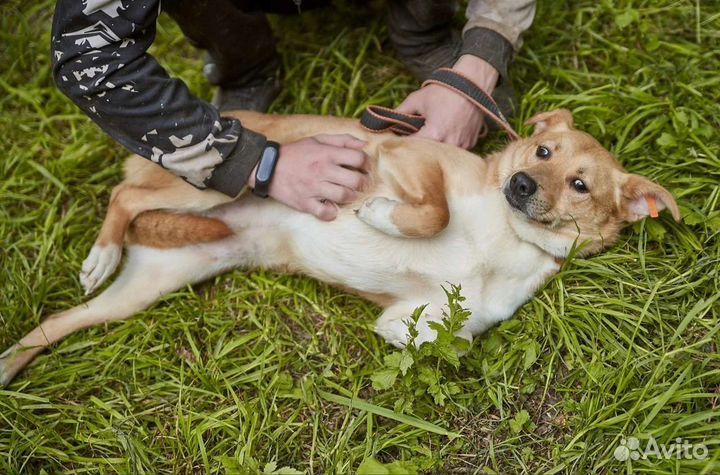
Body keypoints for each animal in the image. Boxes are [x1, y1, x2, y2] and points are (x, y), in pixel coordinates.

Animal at [0, 109, 680, 384]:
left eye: (580, 184)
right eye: (540, 151)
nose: (519, 185)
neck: (505, 235)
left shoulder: (425, 320)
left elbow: (448, 338)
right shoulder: (405, 156)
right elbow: (430, 211)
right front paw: (380, 214)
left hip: (148, 287)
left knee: (57, 322)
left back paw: (10, 361)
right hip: (208, 185)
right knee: (124, 196)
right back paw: (102, 251)